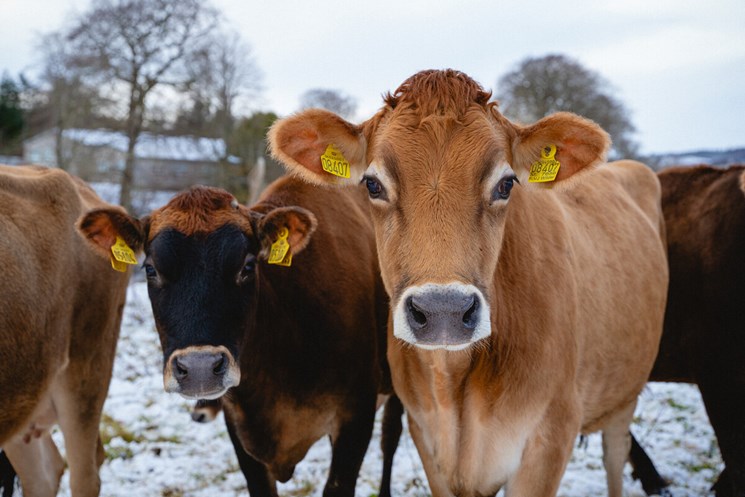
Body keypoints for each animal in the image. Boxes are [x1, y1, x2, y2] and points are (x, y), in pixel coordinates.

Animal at [76, 178, 401, 497]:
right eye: (151, 269)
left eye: (247, 266)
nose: (199, 368)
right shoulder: (239, 427)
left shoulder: (355, 417)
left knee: (391, 437)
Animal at [268, 69, 669, 497]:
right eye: (372, 185)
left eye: (506, 184)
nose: (443, 310)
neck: (453, 386)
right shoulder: (428, 441)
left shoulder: (549, 440)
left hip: (624, 394)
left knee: (615, 456)